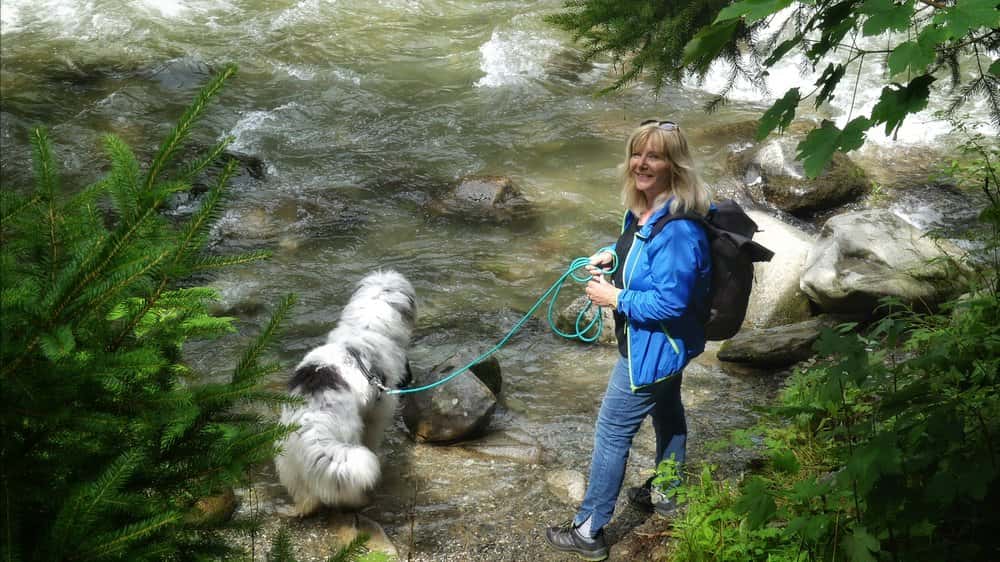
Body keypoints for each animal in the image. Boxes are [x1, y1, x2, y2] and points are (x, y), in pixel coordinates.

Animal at [275, 269, 416, 516]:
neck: (365, 330)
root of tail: (311, 422)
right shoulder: (378, 412)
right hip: (349, 440)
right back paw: (360, 501)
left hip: (287, 459)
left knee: (306, 493)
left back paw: (302, 508)